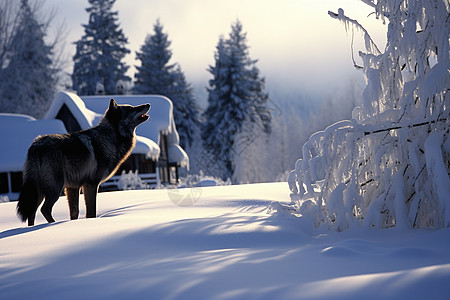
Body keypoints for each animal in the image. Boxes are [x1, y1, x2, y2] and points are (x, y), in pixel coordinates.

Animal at [16, 99, 149, 226]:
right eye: (131, 108)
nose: (148, 104)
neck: (108, 139)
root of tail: (35, 146)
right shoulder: (91, 184)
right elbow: (91, 212)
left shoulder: (73, 187)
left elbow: (74, 212)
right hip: (54, 189)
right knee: (44, 209)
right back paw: (54, 224)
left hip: (38, 191)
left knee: (32, 212)